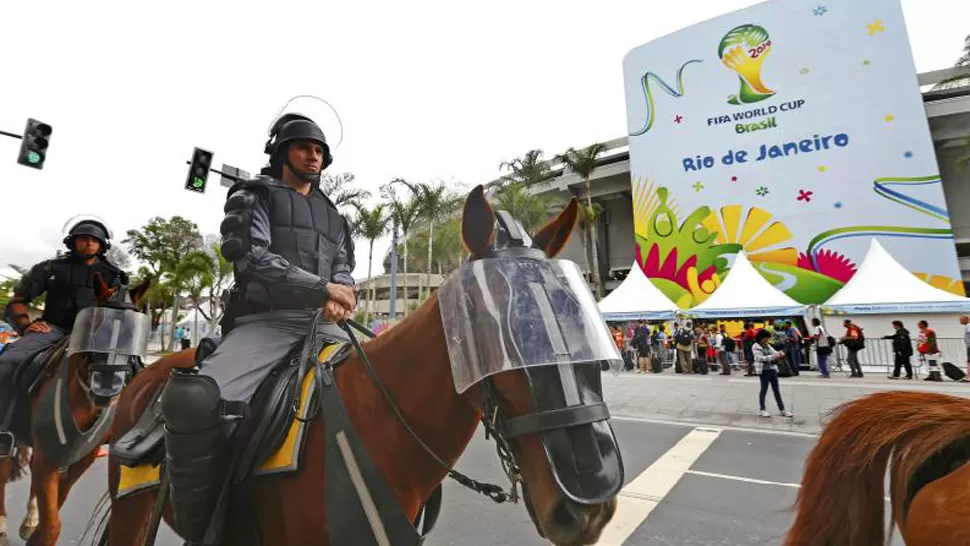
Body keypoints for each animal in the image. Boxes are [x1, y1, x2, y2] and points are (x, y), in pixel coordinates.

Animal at [0, 274, 149, 544]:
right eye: (94, 325)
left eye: (133, 332)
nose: (107, 386)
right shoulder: (47, 457)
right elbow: (52, 525)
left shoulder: (82, 457)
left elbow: (56, 506)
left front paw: (35, 527)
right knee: (3, 467)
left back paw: (30, 518)